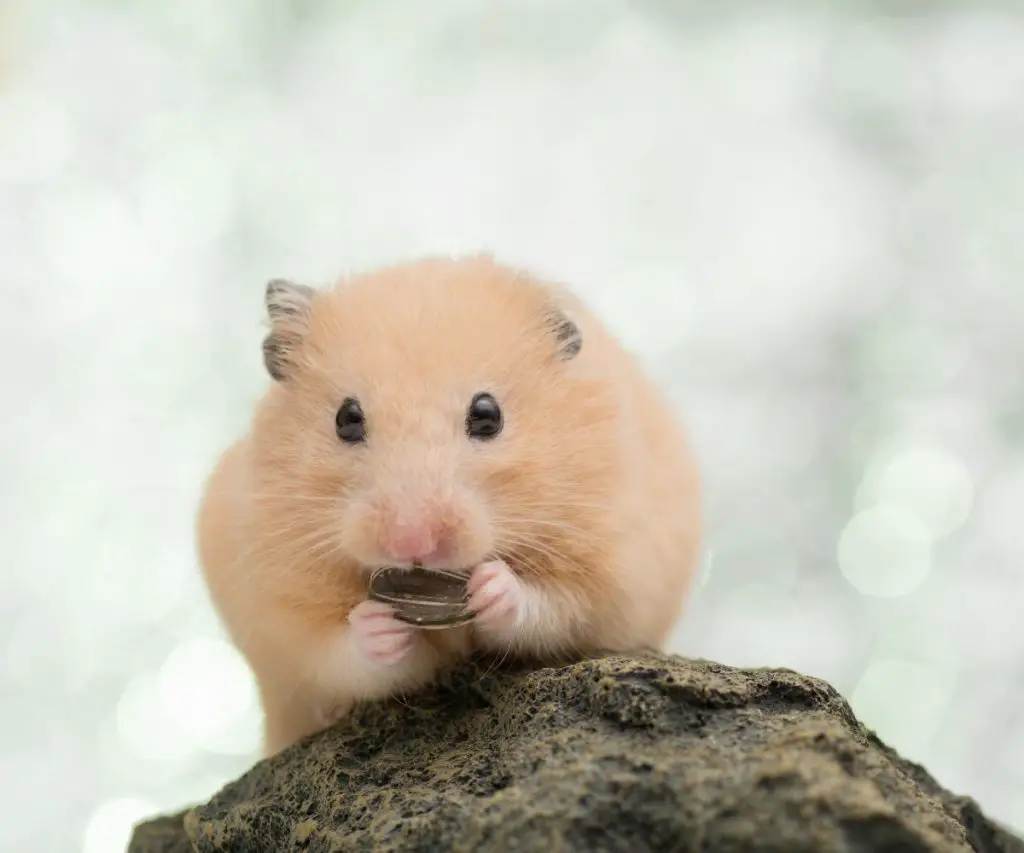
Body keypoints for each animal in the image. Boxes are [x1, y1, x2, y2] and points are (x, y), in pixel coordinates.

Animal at [195, 252, 700, 753]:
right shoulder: (274, 608)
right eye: (346, 419)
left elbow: (553, 609)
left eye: (487, 414)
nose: (411, 542)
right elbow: (345, 656)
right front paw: (380, 622)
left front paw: (491, 587)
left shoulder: (612, 564)